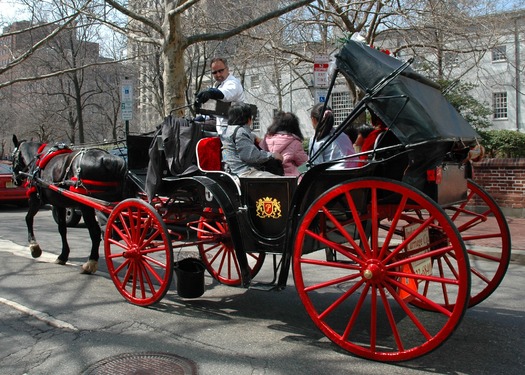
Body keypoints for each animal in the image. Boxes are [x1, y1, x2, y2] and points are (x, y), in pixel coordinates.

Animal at [11, 137, 127, 274]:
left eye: (13, 157)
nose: (14, 180)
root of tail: (108, 159)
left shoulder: (37, 200)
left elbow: (29, 219)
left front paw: (35, 248)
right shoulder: (60, 204)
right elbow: (62, 229)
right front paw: (63, 256)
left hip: (87, 206)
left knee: (95, 232)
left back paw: (91, 263)